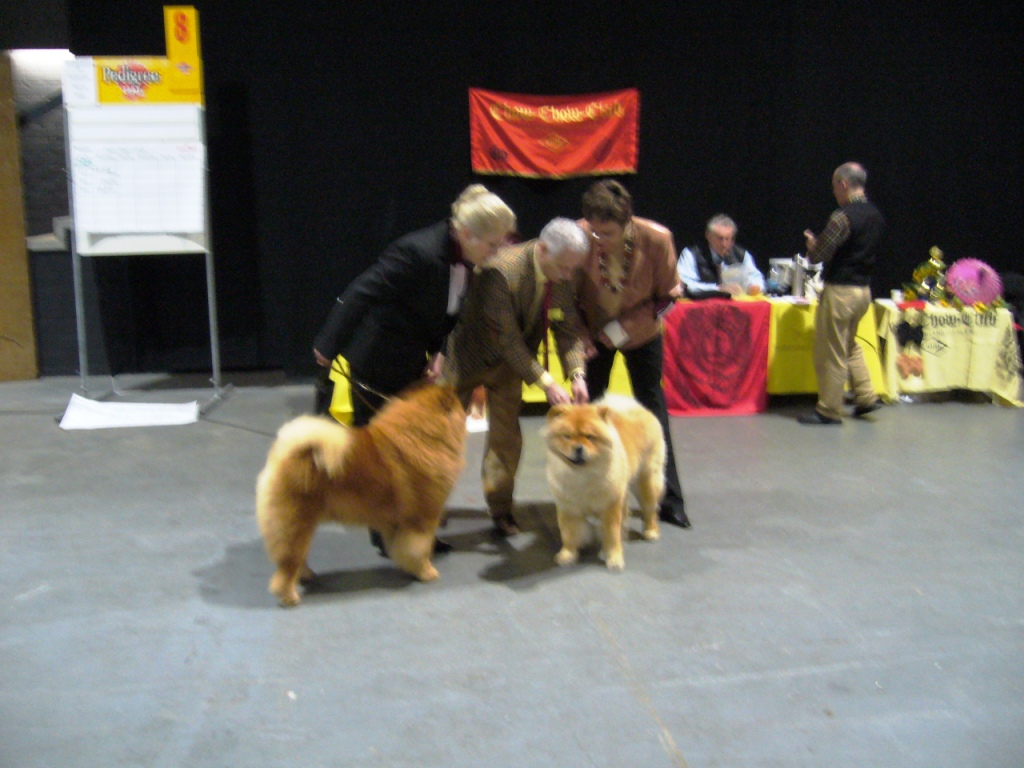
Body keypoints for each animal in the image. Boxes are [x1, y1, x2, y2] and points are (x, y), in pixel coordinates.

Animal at [255, 382, 467, 606]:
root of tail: (284, 456)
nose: (465, 407)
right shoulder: (423, 517)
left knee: (296, 559)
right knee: (287, 566)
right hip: (295, 524)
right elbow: (420, 549)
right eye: (458, 402)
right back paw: (289, 596)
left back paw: (306, 575)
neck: (423, 436)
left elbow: (401, 548)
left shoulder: (396, 523)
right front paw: (426, 572)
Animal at [544, 394, 666, 571]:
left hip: (646, 481)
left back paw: (651, 532)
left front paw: (614, 559)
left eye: (590, 437)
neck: (582, 475)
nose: (578, 448)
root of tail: (639, 409)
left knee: (650, 510)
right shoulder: (568, 507)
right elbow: (568, 533)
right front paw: (567, 555)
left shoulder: (610, 506)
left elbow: (612, 534)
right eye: (567, 436)